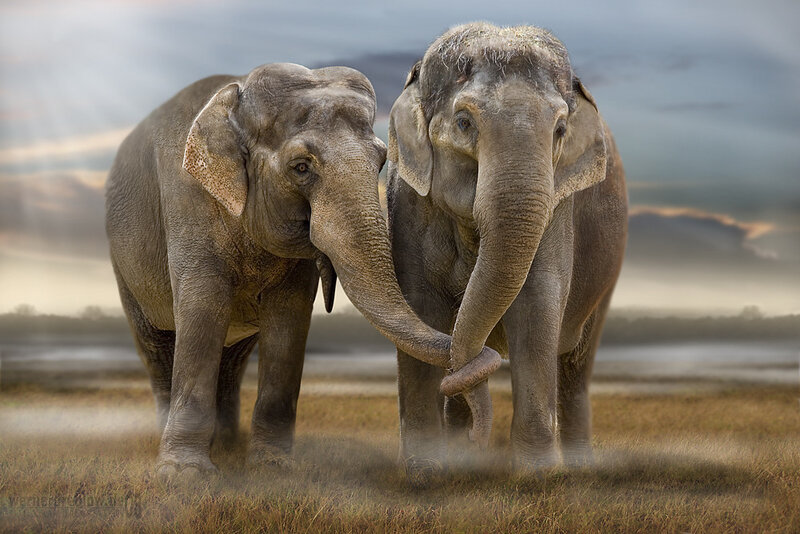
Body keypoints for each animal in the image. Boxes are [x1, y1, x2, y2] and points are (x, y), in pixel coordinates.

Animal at [105, 63, 499, 481]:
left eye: (380, 161)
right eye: (301, 167)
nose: (476, 439)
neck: (236, 99)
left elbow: (289, 319)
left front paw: (273, 469)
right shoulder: (188, 200)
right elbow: (203, 308)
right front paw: (185, 476)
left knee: (233, 358)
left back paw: (228, 447)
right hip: (124, 264)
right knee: (155, 344)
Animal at [386, 23, 627, 475]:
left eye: (560, 130)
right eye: (464, 122)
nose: (478, 439)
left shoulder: (558, 207)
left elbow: (537, 305)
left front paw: (537, 477)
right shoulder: (408, 201)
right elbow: (419, 305)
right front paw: (425, 475)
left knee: (576, 365)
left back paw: (579, 470)